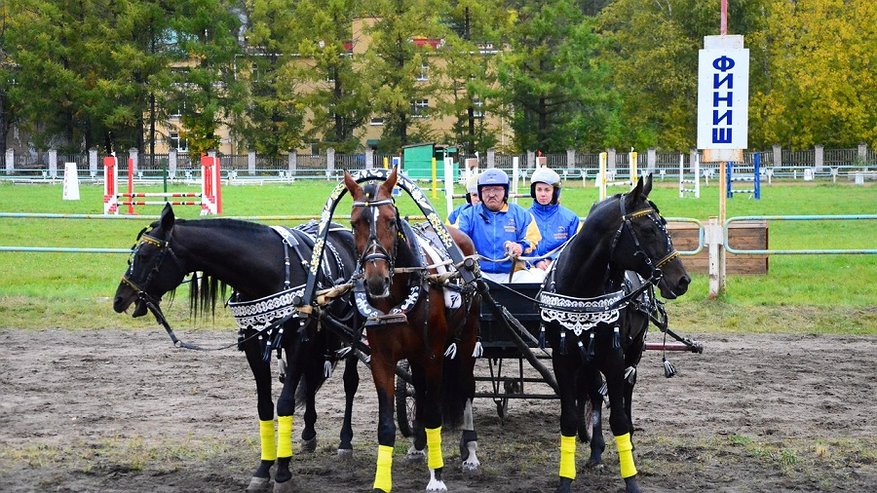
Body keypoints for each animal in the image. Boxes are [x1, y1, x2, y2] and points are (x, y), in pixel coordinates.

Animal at [113, 203, 360, 492]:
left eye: (144, 255)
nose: (119, 299)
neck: (272, 269)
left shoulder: (298, 341)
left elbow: (285, 404)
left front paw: (283, 473)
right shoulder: (255, 344)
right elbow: (264, 406)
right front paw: (264, 469)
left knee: (349, 383)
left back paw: (345, 441)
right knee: (310, 380)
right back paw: (308, 434)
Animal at [340, 167, 480, 490]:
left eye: (391, 220)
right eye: (354, 223)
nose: (375, 280)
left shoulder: (433, 355)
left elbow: (433, 413)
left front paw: (437, 476)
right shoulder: (383, 359)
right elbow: (387, 425)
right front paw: (382, 481)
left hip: (467, 337)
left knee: (466, 386)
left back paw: (469, 452)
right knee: (420, 388)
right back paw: (418, 444)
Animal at [540, 175, 692, 490]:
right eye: (648, 229)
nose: (682, 280)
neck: (582, 291)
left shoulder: (613, 356)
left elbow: (619, 417)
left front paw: (631, 478)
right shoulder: (565, 358)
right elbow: (569, 418)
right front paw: (565, 479)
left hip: (633, 350)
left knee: (627, 390)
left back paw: (629, 444)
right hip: (589, 358)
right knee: (596, 395)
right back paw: (596, 451)